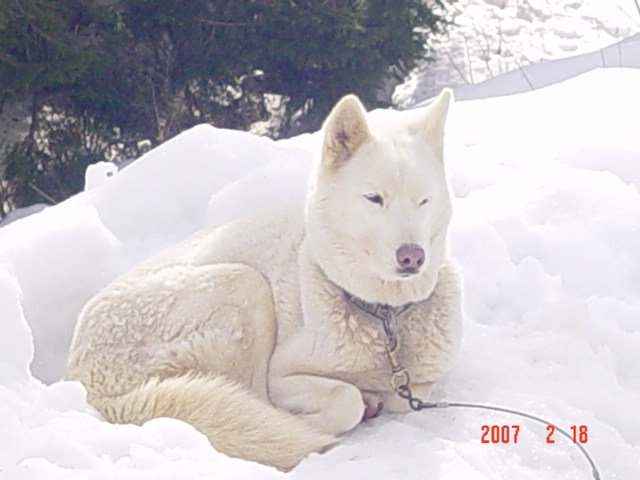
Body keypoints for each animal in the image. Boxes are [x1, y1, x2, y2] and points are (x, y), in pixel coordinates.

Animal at [69, 90, 460, 468]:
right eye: (374, 198)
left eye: (423, 200)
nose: (412, 256)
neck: (384, 316)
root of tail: (91, 385)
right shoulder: (281, 374)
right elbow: (345, 400)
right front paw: (338, 411)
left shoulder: (417, 382)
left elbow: (406, 395)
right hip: (244, 285)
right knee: (250, 401)